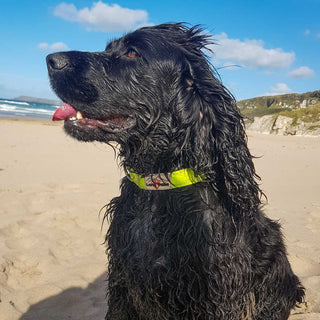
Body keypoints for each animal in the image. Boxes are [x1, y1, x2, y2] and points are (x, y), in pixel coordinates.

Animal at [46, 23, 304, 320]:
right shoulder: (123, 281)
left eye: (132, 52)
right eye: (109, 48)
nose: (51, 60)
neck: (159, 185)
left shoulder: (217, 294)